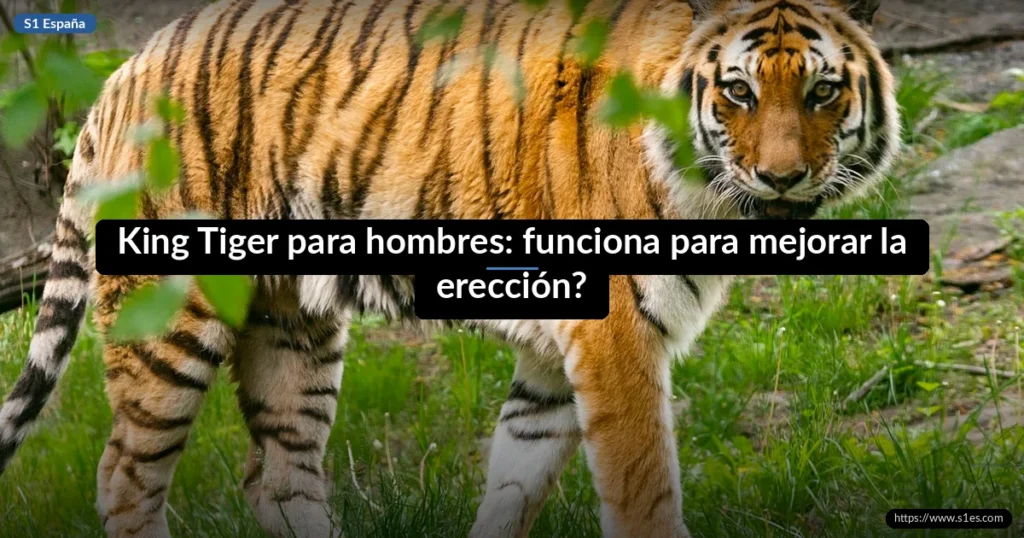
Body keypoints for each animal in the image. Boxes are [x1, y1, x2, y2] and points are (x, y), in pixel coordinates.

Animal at [0, 0, 899, 536]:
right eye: (739, 92)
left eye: (822, 92)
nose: (783, 178)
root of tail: (125, 67)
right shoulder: (617, 344)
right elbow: (643, 494)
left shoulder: (556, 360)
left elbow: (514, 482)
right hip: (172, 314)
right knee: (124, 473)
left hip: (295, 327)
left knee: (277, 473)